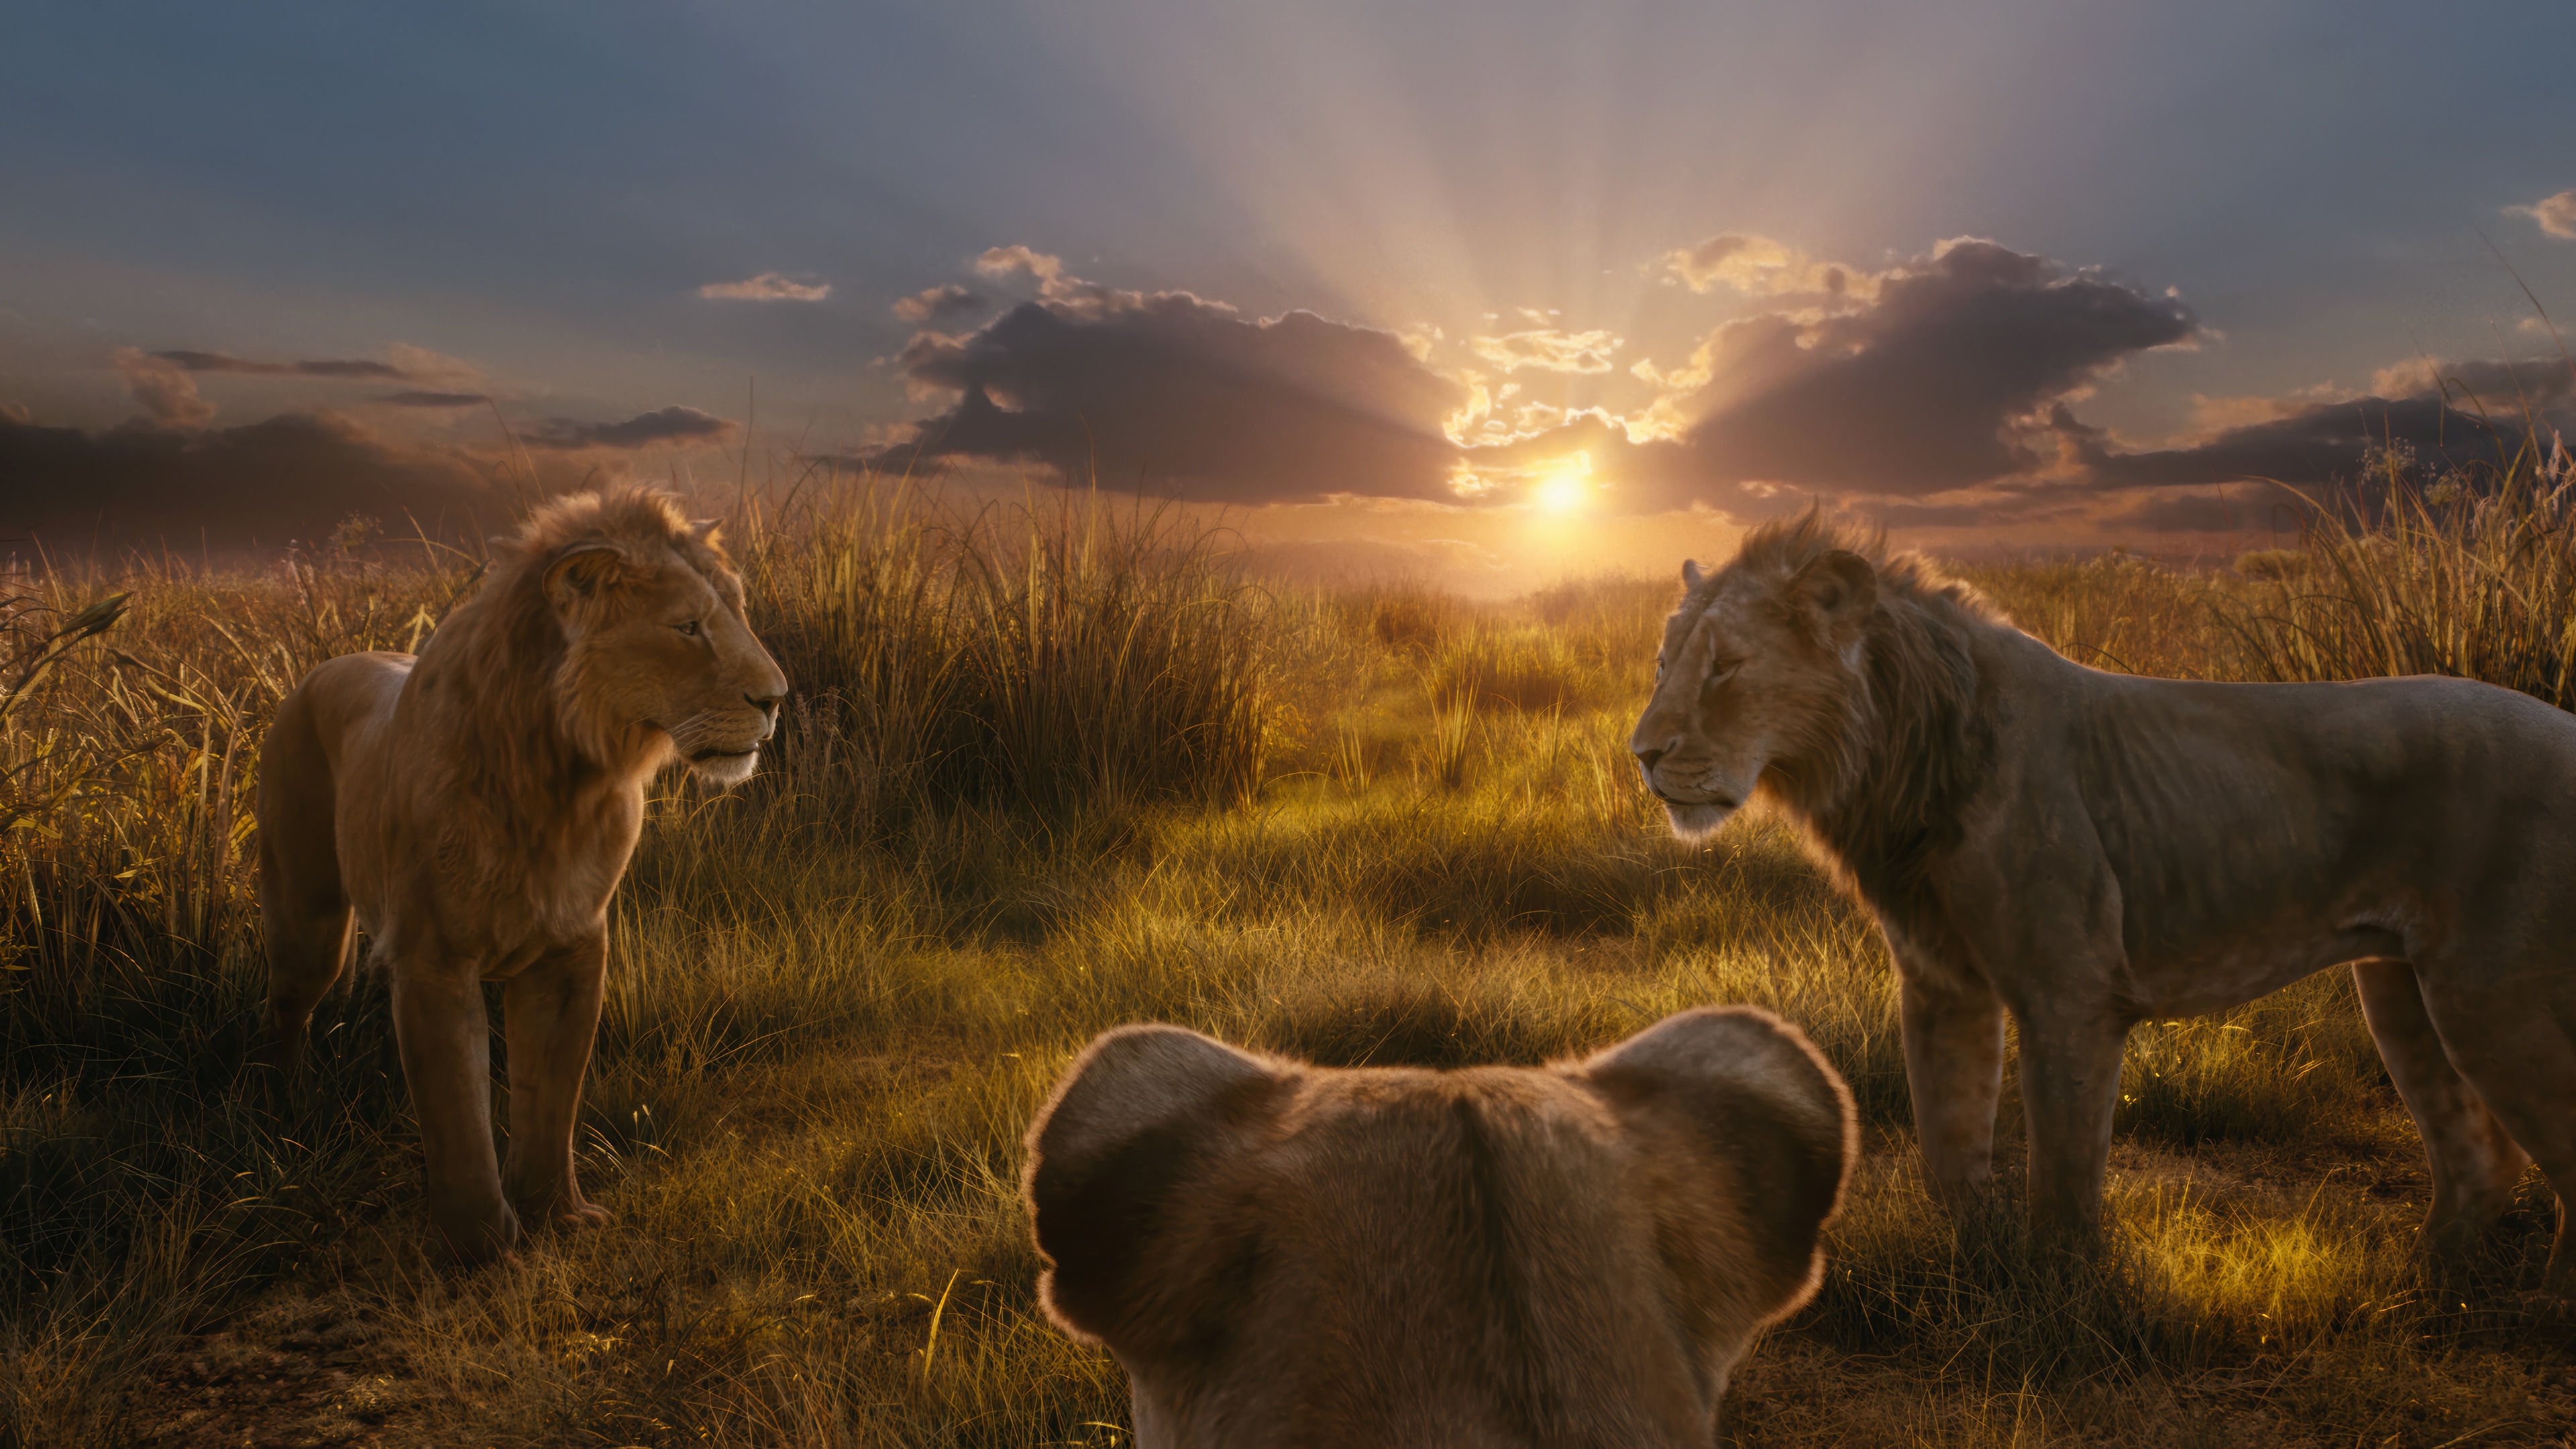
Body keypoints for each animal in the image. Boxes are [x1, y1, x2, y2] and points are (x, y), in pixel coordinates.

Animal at [255, 486, 787, 1264]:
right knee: (286, 1011)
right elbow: (457, 1114)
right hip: (309, 921)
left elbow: (549, 1100)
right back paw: (285, 1114)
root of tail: (321, 669)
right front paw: (481, 1248)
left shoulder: (572, 949)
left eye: (738, 613)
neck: (562, 777)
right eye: (688, 627)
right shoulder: (434, 959)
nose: (777, 699)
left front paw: (557, 1216)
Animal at [1630, 510, 2576, 1290]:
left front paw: (2061, 1299)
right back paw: (2416, 1290)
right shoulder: (1943, 986)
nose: (1641, 753)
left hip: (2493, 999)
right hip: (2399, 986)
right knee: (2482, 1161)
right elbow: (1948, 1144)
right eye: (1663, 663)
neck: (1898, 756)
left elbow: (2062, 1174)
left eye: (1726, 666)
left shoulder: (2071, 992)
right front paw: (1978, 1269)